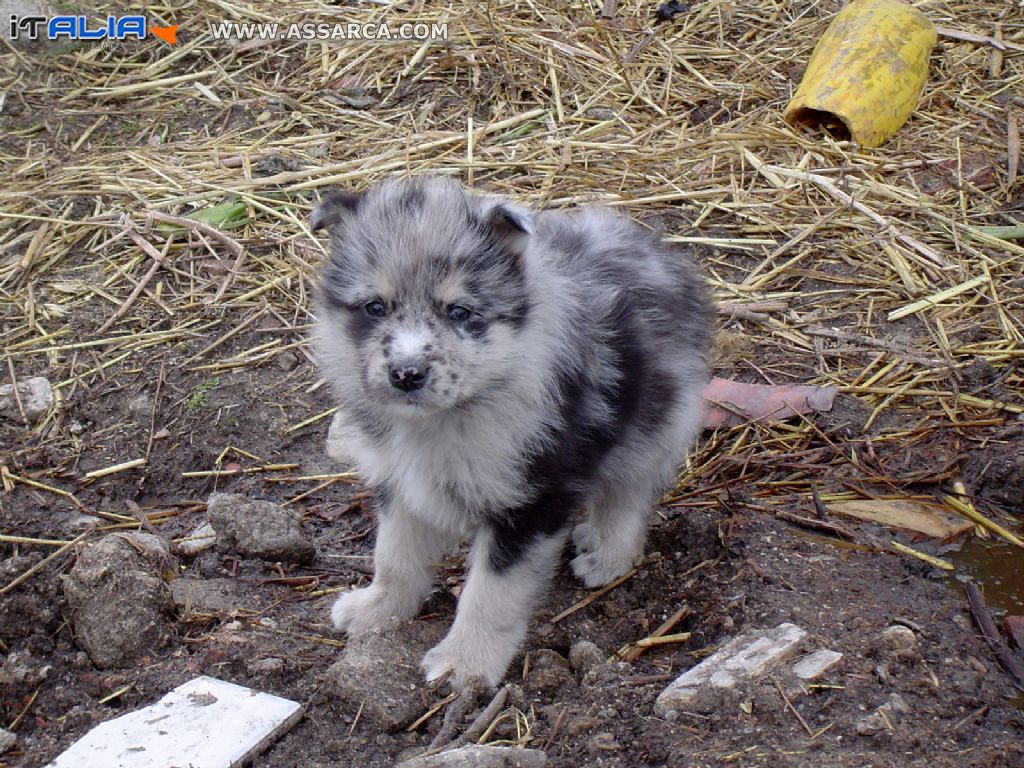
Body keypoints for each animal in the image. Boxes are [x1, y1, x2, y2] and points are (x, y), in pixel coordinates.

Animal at [311, 177, 712, 688]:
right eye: (375, 307)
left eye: (460, 312)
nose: (406, 374)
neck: (445, 418)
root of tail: (654, 249)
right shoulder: (400, 483)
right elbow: (394, 554)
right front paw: (378, 609)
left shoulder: (532, 499)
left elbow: (490, 592)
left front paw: (464, 663)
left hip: (654, 419)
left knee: (627, 495)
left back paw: (608, 557)